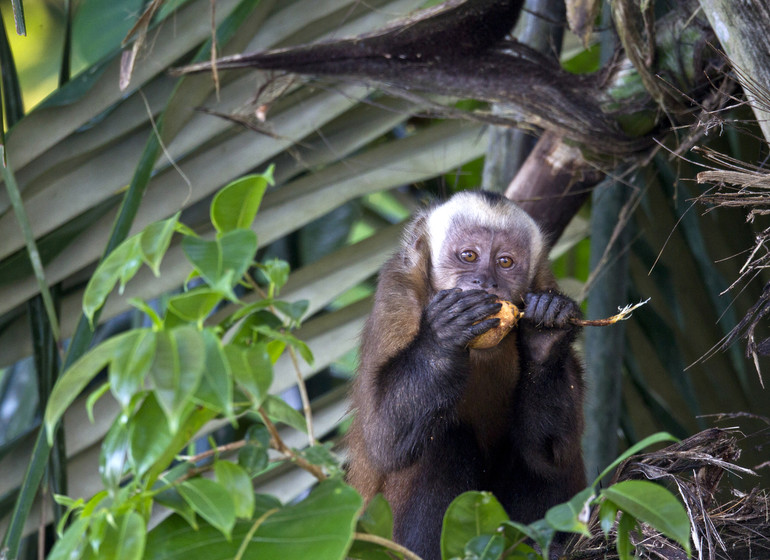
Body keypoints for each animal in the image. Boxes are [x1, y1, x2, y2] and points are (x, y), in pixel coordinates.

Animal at [344, 190, 584, 556]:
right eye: (469, 256)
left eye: (505, 262)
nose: (484, 281)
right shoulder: (397, 292)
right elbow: (384, 440)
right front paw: (444, 336)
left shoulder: (544, 283)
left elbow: (555, 448)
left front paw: (545, 336)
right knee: (442, 441)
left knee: (540, 456)